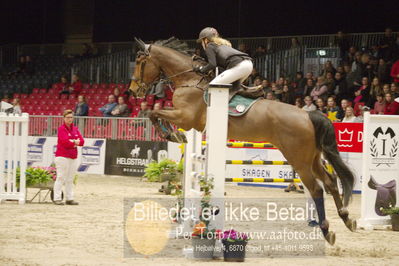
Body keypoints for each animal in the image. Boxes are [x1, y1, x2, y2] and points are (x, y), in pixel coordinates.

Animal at [130, 37, 358, 245]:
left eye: (140, 62)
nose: (133, 91)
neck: (189, 79)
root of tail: (308, 114)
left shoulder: (185, 117)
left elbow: (153, 112)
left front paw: (173, 135)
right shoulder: (184, 118)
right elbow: (156, 113)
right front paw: (174, 134)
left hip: (298, 160)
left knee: (317, 189)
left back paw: (327, 231)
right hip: (313, 158)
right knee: (330, 181)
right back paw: (347, 219)